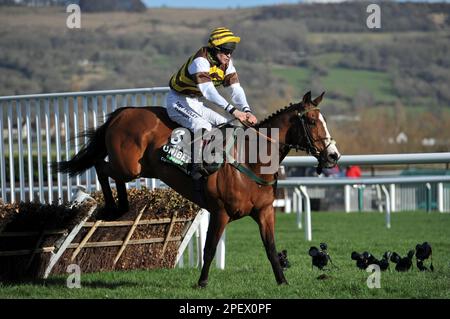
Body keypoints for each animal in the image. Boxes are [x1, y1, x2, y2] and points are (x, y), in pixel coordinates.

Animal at [54, 90, 340, 288]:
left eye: (323, 119)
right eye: (311, 121)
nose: (333, 155)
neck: (252, 160)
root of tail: (123, 111)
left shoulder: (265, 211)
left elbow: (270, 247)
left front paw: (282, 281)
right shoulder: (220, 212)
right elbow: (210, 248)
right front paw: (202, 282)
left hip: (137, 168)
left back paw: (120, 207)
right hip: (128, 166)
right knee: (101, 167)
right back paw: (115, 207)